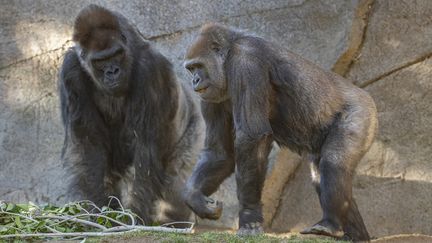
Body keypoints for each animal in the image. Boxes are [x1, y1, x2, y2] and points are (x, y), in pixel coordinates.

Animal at [57, 4, 204, 224]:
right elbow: (89, 148)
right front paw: (97, 213)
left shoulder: (150, 68)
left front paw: (134, 217)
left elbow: (144, 151)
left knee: (175, 188)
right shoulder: (71, 71)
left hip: (195, 127)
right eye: (100, 61)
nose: (112, 72)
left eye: (116, 54)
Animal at [181, 23, 376, 241]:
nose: (195, 80)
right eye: (190, 69)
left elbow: (251, 137)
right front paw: (194, 196)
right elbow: (220, 153)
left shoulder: (246, 60)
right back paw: (355, 234)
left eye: (198, 66)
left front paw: (249, 215)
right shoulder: (210, 96)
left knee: (333, 163)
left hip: (362, 112)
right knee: (321, 172)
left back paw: (331, 224)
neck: (230, 50)